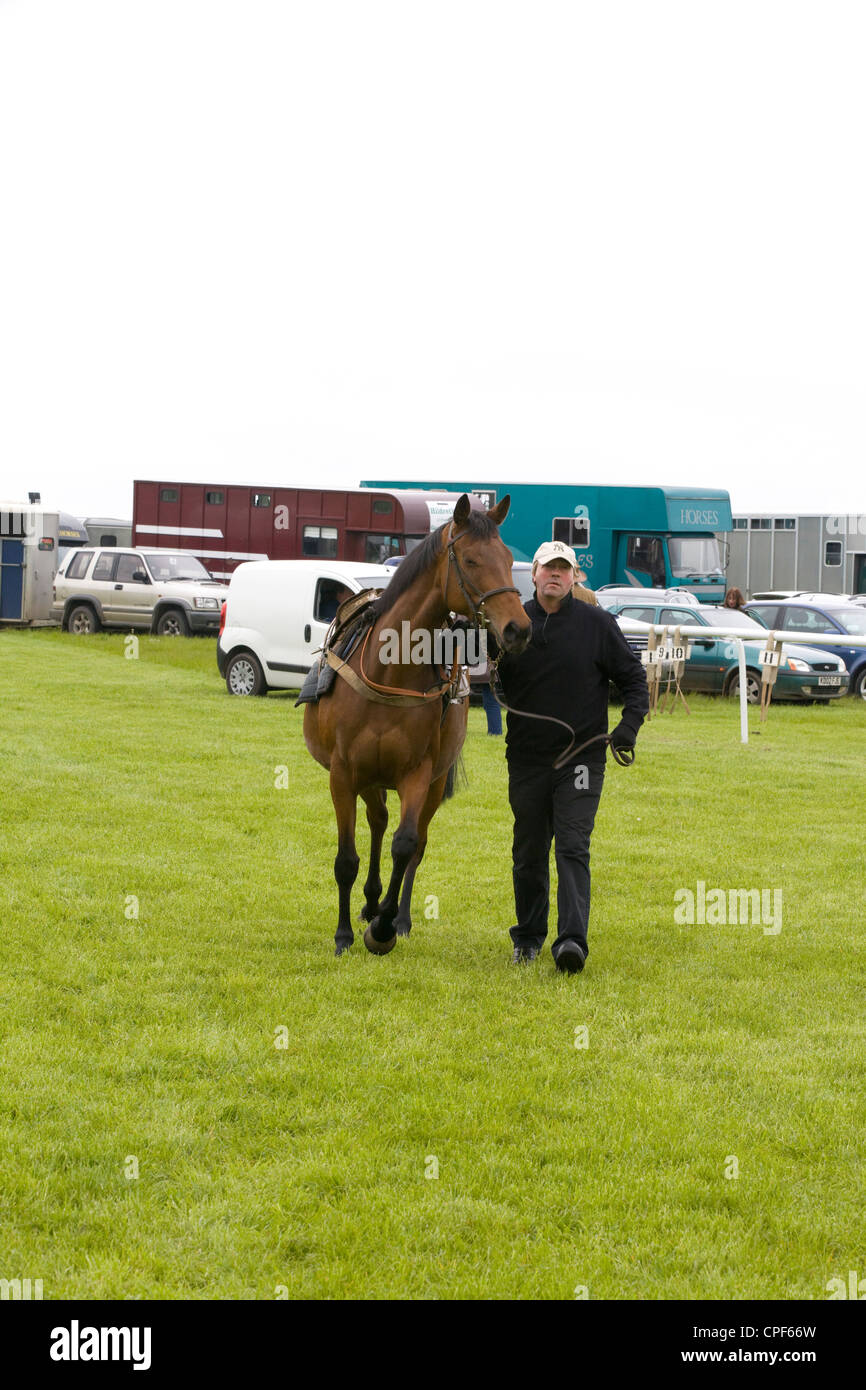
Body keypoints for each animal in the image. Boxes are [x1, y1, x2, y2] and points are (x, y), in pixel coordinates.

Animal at [304, 494, 536, 961]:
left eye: (507, 559)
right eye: (472, 559)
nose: (517, 628)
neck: (389, 670)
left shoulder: (418, 772)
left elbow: (406, 844)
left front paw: (384, 928)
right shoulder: (343, 773)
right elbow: (347, 859)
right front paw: (344, 934)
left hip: (432, 781)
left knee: (412, 840)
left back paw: (395, 915)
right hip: (368, 777)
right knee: (376, 820)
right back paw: (369, 902)